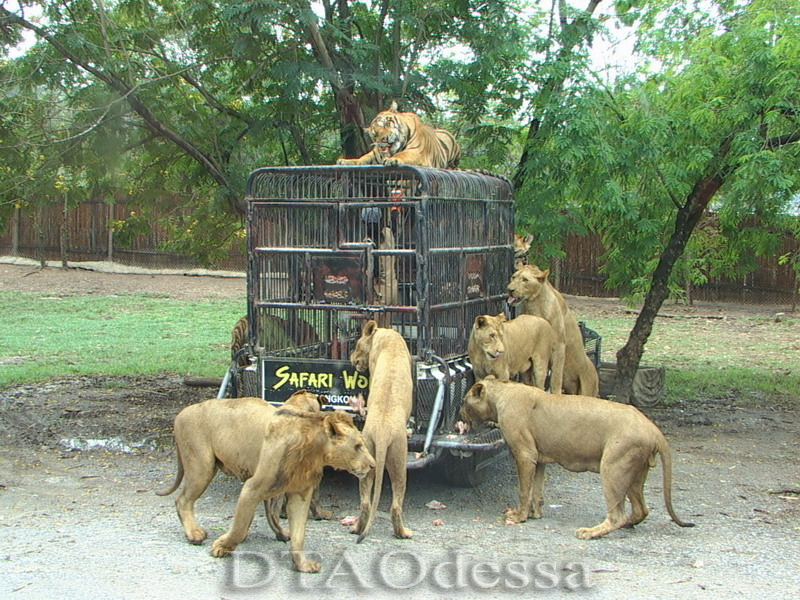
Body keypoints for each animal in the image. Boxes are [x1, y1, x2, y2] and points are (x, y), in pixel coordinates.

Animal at [211, 408, 376, 572]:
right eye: (357, 446)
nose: (373, 465)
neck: (314, 453)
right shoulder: (251, 488)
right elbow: (238, 527)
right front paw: (221, 546)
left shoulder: (300, 494)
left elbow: (298, 534)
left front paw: (302, 565)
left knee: (270, 513)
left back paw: (281, 534)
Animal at [348, 318, 412, 544]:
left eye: (357, 345)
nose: (351, 359)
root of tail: (383, 433)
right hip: (400, 461)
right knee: (396, 504)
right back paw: (404, 533)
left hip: (367, 457)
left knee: (365, 502)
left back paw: (357, 529)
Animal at [460, 376, 696, 540]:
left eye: (464, 401)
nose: (459, 414)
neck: (502, 392)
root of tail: (653, 429)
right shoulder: (540, 458)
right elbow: (536, 490)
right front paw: (535, 513)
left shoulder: (525, 454)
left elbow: (524, 491)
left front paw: (519, 517)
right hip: (635, 473)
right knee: (641, 510)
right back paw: (628, 523)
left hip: (613, 467)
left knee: (616, 515)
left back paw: (590, 532)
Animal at [510, 264, 596, 396]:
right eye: (513, 277)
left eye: (525, 280)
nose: (509, 289)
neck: (534, 305)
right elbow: (528, 379)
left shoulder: (559, 346)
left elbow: (556, 378)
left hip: (587, 388)